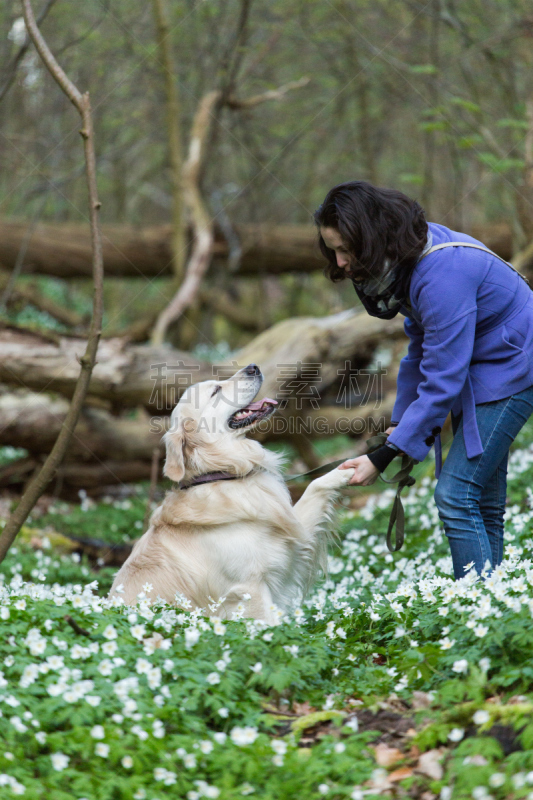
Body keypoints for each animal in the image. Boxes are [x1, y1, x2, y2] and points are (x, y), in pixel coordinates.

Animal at [109, 364, 354, 624]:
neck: (222, 474)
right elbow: (272, 628)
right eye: (216, 391)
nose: (253, 367)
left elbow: (314, 486)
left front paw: (349, 468)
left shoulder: (291, 540)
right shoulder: (249, 587)